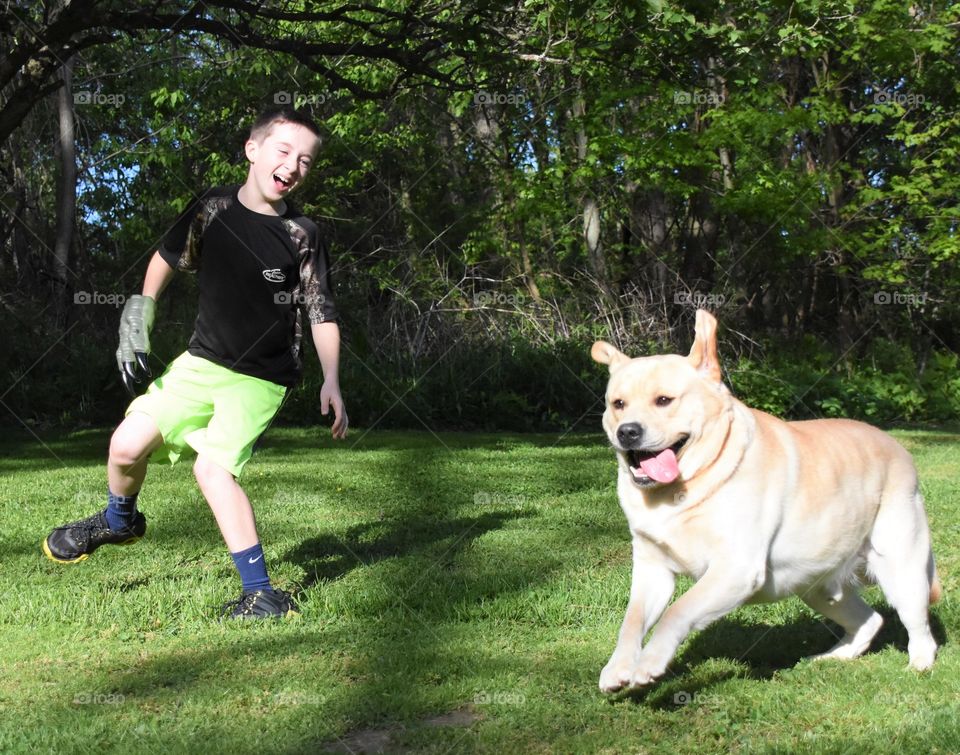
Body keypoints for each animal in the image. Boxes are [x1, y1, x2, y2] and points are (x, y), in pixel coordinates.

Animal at [588, 310, 940, 692]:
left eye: (664, 400)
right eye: (618, 404)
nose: (627, 432)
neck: (684, 488)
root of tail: (898, 446)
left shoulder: (735, 569)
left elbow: (677, 611)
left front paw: (650, 663)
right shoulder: (653, 569)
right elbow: (632, 620)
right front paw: (617, 668)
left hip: (902, 569)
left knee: (920, 629)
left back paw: (919, 665)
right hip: (816, 584)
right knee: (870, 619)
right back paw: (833, 656)